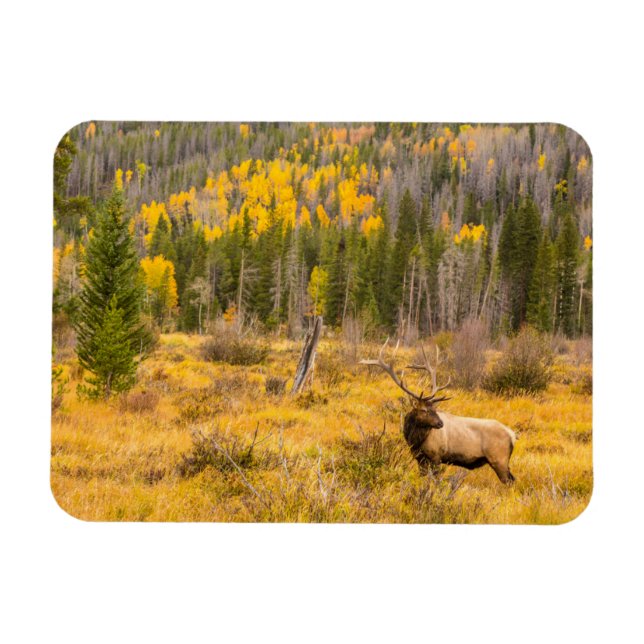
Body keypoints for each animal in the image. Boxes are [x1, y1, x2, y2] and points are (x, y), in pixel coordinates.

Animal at [359, 339, 517, 484]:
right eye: (424, 410)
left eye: (435, 409)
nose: (440, 423)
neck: (415, 440)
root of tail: (513, 435)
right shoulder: (419, 457)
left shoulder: (436, 456)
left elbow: (435, 479)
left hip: (499, 459)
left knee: (509, 481)